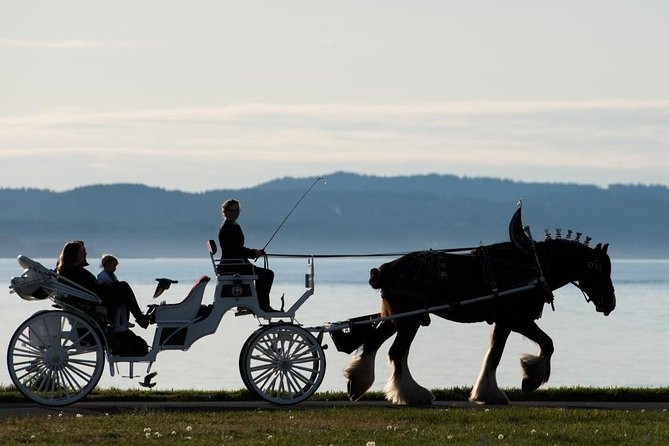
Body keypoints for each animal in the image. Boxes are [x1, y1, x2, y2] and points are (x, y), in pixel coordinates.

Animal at [343, 209, 616, 405]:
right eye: (601, 270)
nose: (610, 303)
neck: (532, 266)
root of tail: (384, 269)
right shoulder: (514, 319)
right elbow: (536, 346)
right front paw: (524, 381)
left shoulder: (507, 321)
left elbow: (496, 352)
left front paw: (491, 390)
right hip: (410, 320)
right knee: (396, 352)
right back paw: (413, 395)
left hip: (395, 317)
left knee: (374, 343)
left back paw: (358, 383)